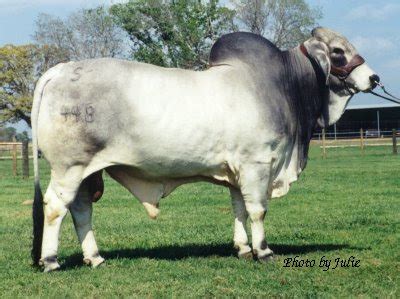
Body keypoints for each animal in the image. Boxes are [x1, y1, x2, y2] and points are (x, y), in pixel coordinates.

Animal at [31, 27, 378, 272]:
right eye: (338, 51)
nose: (374, 78)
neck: (283, 85)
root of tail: (61, 69)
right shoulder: (257, 165)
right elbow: (258, 209)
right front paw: (264, 251)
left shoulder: (237, 171)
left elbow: (239, 208)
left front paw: (242, 249)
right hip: (69, 168)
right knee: (55, 207)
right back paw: (51, 261)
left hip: (87, 172)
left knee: (81, 209)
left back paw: (95, 257)